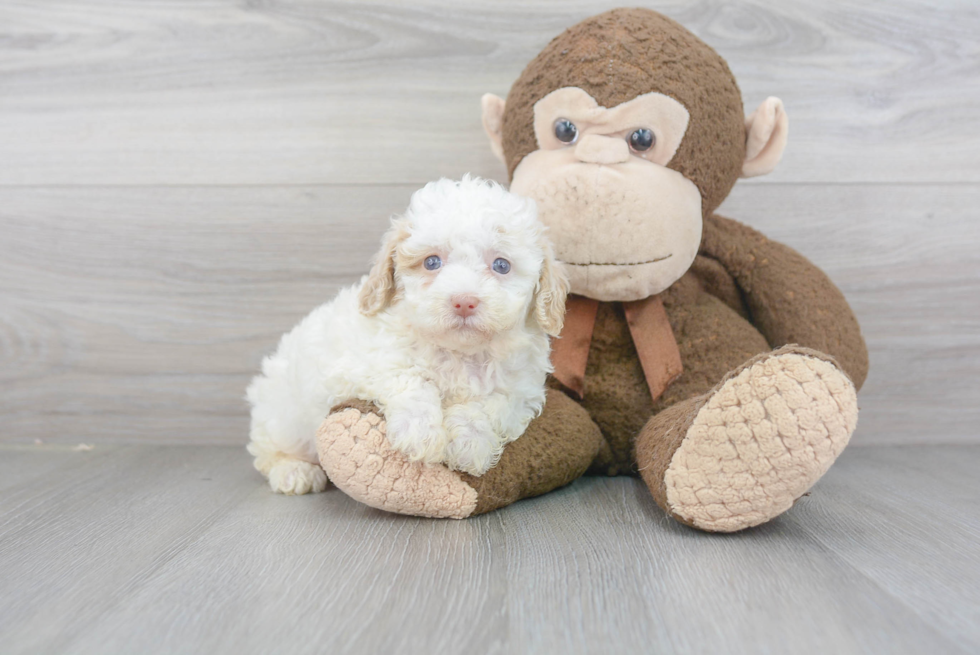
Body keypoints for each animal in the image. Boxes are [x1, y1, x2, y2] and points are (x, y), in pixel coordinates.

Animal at [245, 177, 568, 494]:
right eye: (431, 262)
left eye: (501, 265)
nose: (464, 301)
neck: (459, 353)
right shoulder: (358, 366)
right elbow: (409, 378)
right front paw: (420, 433)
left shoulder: (521, 390)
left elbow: (489, 404)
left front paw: (469, 442)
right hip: (284, 417)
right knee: (268, 450)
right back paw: (294, 471)